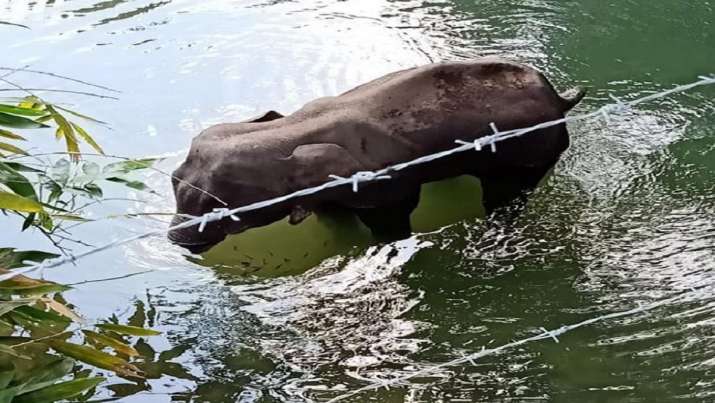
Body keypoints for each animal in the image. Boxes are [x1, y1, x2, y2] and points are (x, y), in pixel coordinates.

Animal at [169, 57, 585, 253]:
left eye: (223, 208)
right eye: (174, 180)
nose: (175, 239)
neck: (292, 131)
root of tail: (561, 99)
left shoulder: (385, 185)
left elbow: (392, 220)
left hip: (527, 155)